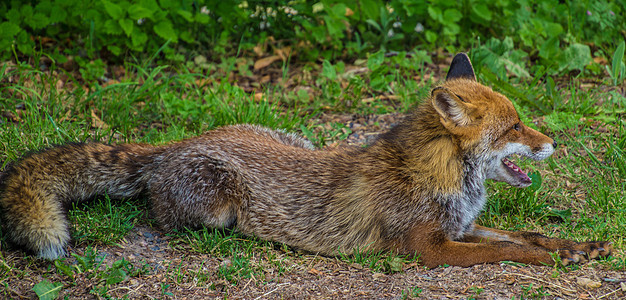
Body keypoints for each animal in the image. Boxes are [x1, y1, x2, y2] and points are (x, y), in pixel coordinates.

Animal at [0, 53, 608, 268]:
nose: (553, 143)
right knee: (162, 216)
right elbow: (509, 249)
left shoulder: (460, 228)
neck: (435, 176)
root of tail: (176, 143)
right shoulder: (429, 247)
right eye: (514, 128)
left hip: (293, 137)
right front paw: (553, 259)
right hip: (215, 209)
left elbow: (524, 235)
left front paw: (577, 246)